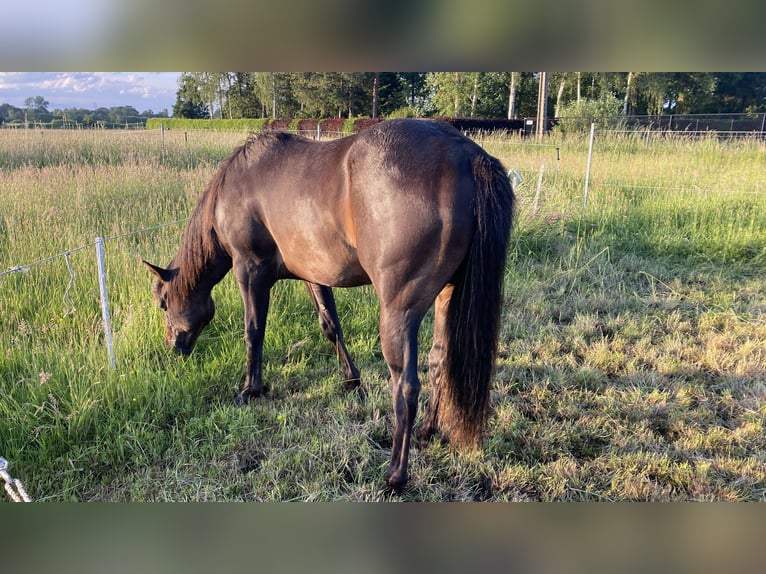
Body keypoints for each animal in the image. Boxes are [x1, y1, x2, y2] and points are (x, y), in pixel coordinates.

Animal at [144, 118, 516, 490]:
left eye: (163, 303)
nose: (172, 347)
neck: (235, 186)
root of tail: (466, 155)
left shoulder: (249, 272)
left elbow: (253, 331)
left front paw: (251, 388)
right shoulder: (314, 273)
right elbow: (330, 324)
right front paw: (351, 379)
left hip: (399, 313)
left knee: (406, 387)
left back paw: (395, 474)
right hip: (446, 296)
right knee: (438, 361)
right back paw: (428, 430)